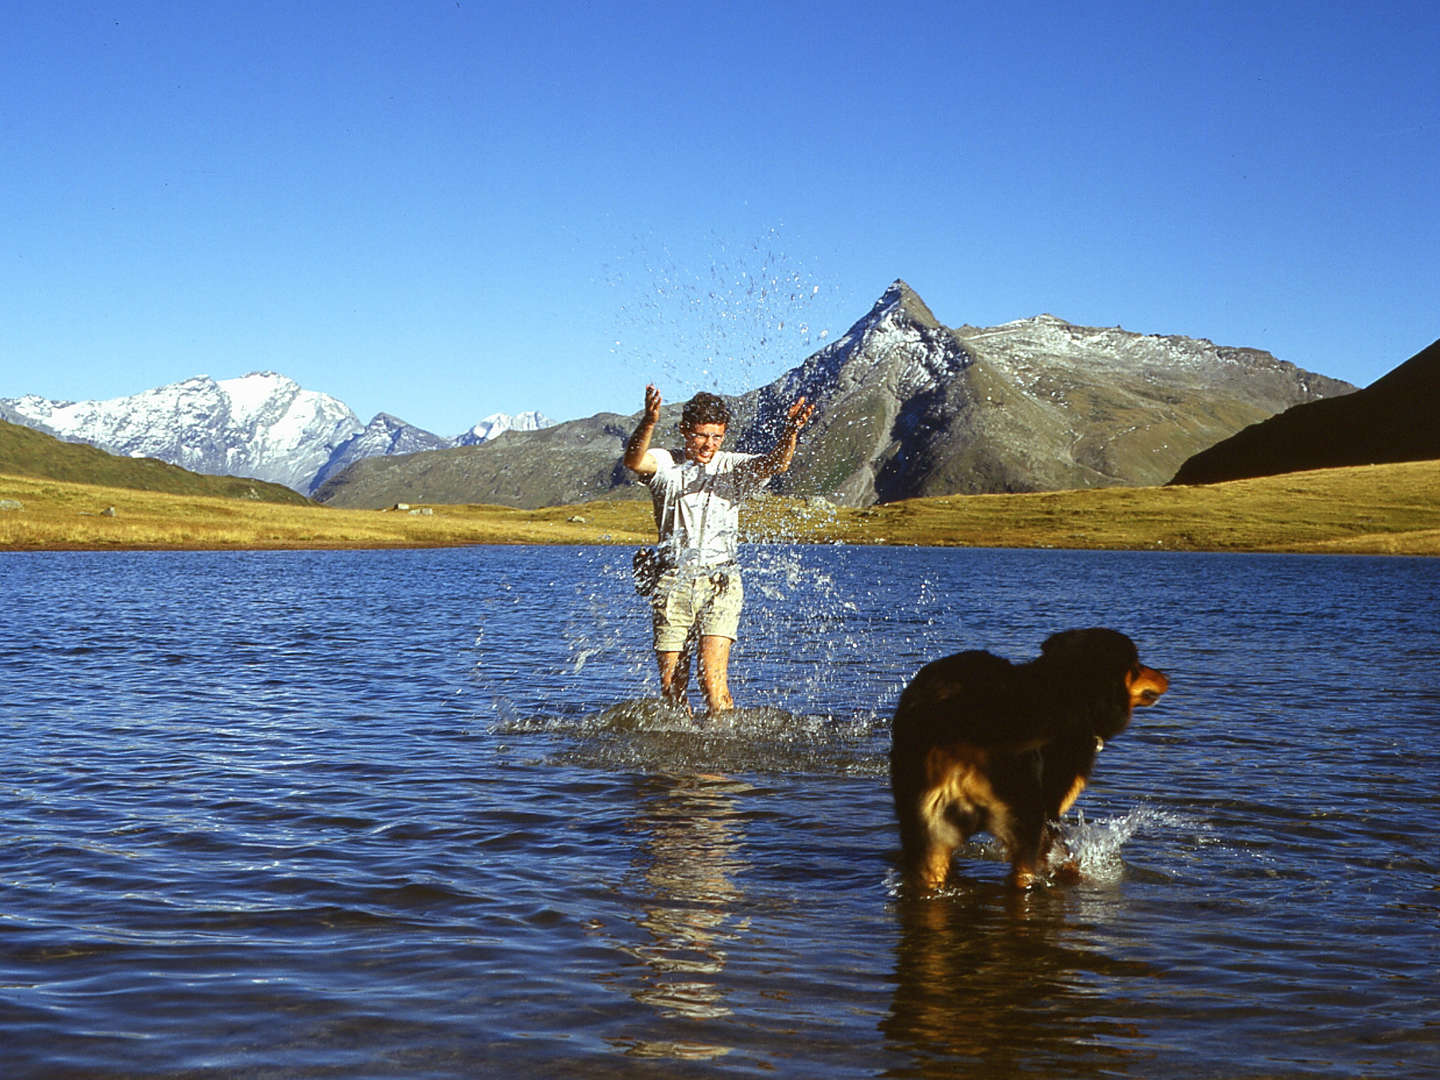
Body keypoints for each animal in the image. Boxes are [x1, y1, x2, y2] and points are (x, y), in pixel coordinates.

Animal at [887, 630, 1169, 892]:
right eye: (1135, 665)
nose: (1166, 676)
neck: (1068, 690)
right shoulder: (1050, 810)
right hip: (1024, 818)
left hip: (925, 831)